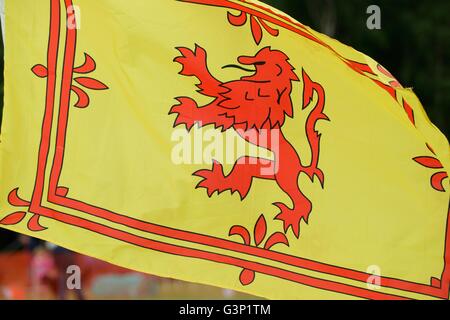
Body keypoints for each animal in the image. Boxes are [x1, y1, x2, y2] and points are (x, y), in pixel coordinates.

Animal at [171, 43, 328, 236]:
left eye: (262, 60)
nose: (241, 58)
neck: (267, 86)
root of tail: (301, 166)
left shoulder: (234, 102)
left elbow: (214, 89)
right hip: (260, 167)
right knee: (240, 175)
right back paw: (217, 181)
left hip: (285, 177)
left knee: (304, 201)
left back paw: (291, 216)